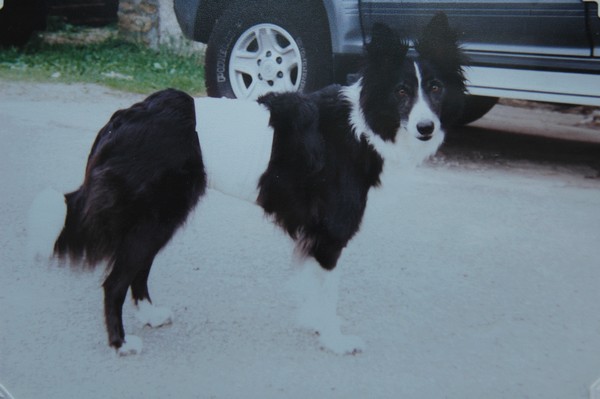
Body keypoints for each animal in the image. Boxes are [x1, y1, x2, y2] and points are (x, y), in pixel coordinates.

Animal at [30, 13, 466, 356]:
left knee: (136, 269)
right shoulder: (330, 234)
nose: (427, 128)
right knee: (114, 281)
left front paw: (313, 324)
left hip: (161, 217)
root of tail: (122, 117)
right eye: (401, 92)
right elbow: (327, 292)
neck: (360, 124)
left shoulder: (313, 236)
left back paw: (150, 315)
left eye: (436, 89)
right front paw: (334, 339)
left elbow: (311, 284)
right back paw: (121, 344)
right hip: (155, 216)